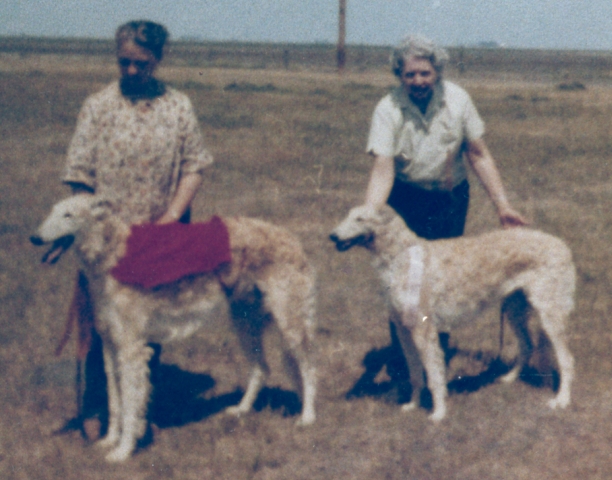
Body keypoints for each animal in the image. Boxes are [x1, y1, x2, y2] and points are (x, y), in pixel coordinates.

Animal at [32, 195, 318, 462]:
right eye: (52, 211)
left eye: (68, 214)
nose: (34, 238)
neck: (113, 252)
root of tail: (291, 238)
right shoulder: (111, 344)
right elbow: (115, 401)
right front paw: (109, 441)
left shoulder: (132, 349)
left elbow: (130, 404)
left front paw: (123, 451)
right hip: (244, 320)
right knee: (261, 369)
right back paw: (241, 410)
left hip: (289, 321)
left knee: (308, 369)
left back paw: (307, 417)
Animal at [330, 204, 572, 422]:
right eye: (348, 215)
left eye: (360, 219)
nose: (331, 236)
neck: (401, 255)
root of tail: (562, 245)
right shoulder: (404, 330)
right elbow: (415, 374)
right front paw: (412, 405)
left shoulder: (424, 331)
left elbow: (434, 377)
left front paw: (438, 413)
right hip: (514, 309)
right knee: (527, 345)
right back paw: (509, 378)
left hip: (549, 316)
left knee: (567, 360)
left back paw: (561, 401)